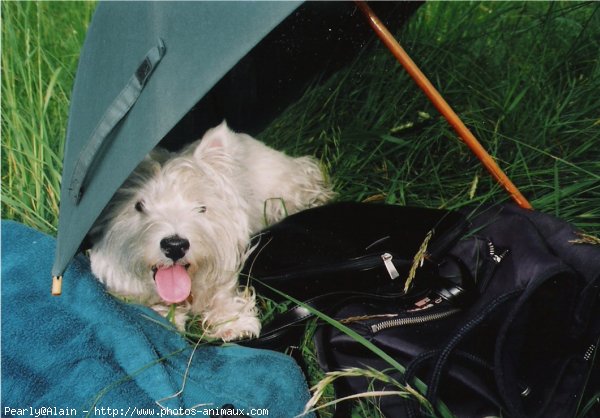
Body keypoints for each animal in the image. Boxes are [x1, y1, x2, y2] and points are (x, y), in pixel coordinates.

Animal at [89, 121, 336, 340]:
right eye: (139, 206)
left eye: (201, 207)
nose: (175, 246)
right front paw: (166, 316)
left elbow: (222, 290)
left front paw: (234, 323)